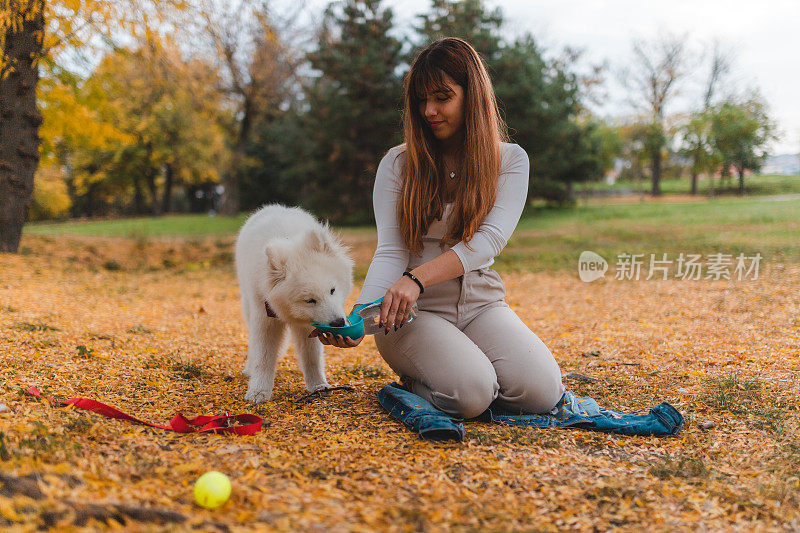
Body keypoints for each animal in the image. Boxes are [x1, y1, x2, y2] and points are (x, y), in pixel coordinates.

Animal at [234, 205, 354, 404]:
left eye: (332, 290)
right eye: (310, 300)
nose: (338, 323)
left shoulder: (309, 325)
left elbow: (312, 356)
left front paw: (319, 386)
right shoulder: (264, 317)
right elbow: (263, 357)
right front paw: (258, 392)